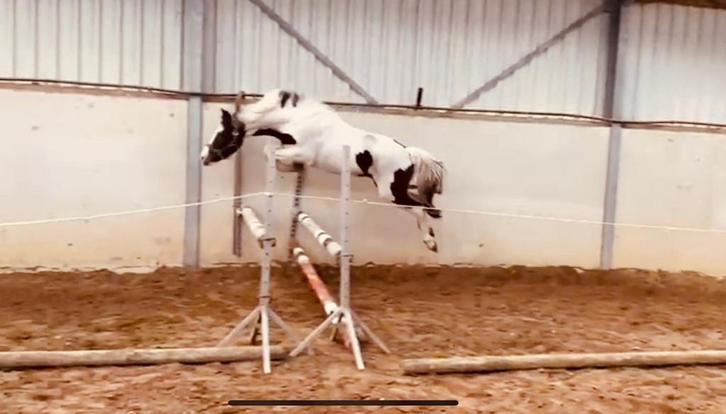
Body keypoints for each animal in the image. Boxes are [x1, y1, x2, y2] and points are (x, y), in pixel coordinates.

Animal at [200, 89, 445, 252]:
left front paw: (289, 166)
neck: (294, 120)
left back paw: (431, 242)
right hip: (396, 189)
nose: (204, 157)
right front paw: (292, 169)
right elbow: (273, 153)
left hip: (390, 193)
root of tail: (408, 152)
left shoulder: (303, 152)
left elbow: (270, 151)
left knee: (419, 209)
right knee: (424, 204)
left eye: (220, 135)